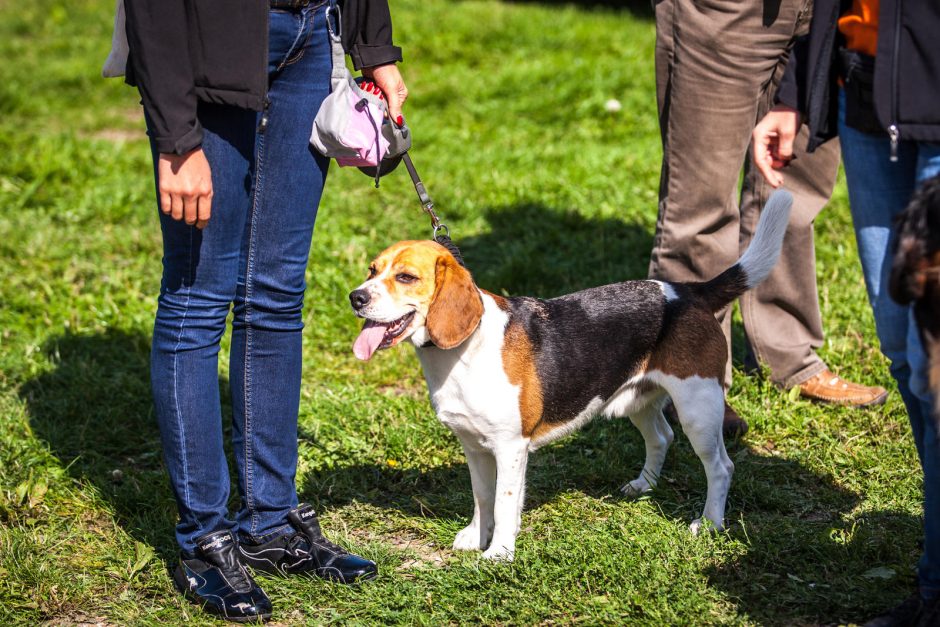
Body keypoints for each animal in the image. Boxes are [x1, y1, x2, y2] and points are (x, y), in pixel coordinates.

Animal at [348, 190, 788, 560]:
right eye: (371, 270)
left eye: (406, 277)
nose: (356, 297)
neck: (460, 353)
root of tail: (691, 291)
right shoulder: (473, 446)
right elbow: (482, 496)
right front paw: (476, 537)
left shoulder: (510, 448)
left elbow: (504, 503)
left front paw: (498, 553)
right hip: (638, 401)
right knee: (661, 436)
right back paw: (643, 486)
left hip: (699, 408)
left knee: (720, 467)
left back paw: (710, 523)